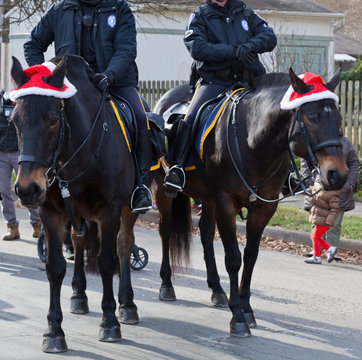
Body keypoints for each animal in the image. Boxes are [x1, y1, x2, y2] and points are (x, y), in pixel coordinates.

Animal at [9, 54, 140, 352]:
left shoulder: (110, 211)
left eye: (52, 120)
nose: (27, 189)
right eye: (14, 121)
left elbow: (107, 261)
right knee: (79, 244)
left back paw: (127, 304)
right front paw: (54, 331)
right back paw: (79, 295)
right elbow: (55, 267)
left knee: (124, 245)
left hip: (127, 209)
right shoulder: (50, 213)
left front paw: (109, 322)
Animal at [151, 69, 346, 338]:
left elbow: (251, 256)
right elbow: (233, 258)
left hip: (208, 198)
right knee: (166, 230)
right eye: (313, 117)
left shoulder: (264, 207)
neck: (252, 140)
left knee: (205, 233)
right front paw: (237, 317)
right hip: (164, 190)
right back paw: (167, 285)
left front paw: (247, 309)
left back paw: (217, 290)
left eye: (338, 119)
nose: (338, 175)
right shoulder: (225, 203)